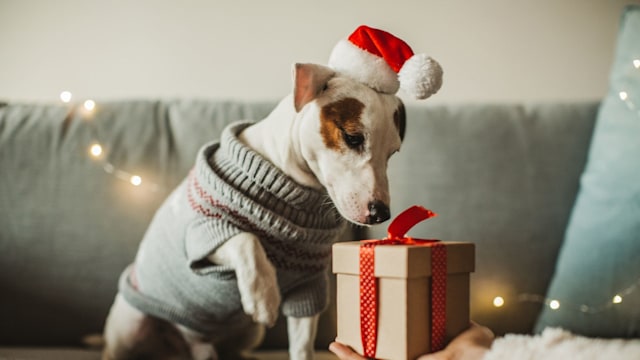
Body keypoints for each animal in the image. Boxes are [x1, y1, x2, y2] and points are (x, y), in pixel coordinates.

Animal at [102, 25, 442, 360]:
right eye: (353, 138)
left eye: (393, 153)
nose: (381, 213)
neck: (287, 180)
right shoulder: (201, 236)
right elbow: (245, 239)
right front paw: (263, 297)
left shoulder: (308, 286)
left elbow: (302, 345)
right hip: (130, 325)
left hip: (247, 334)